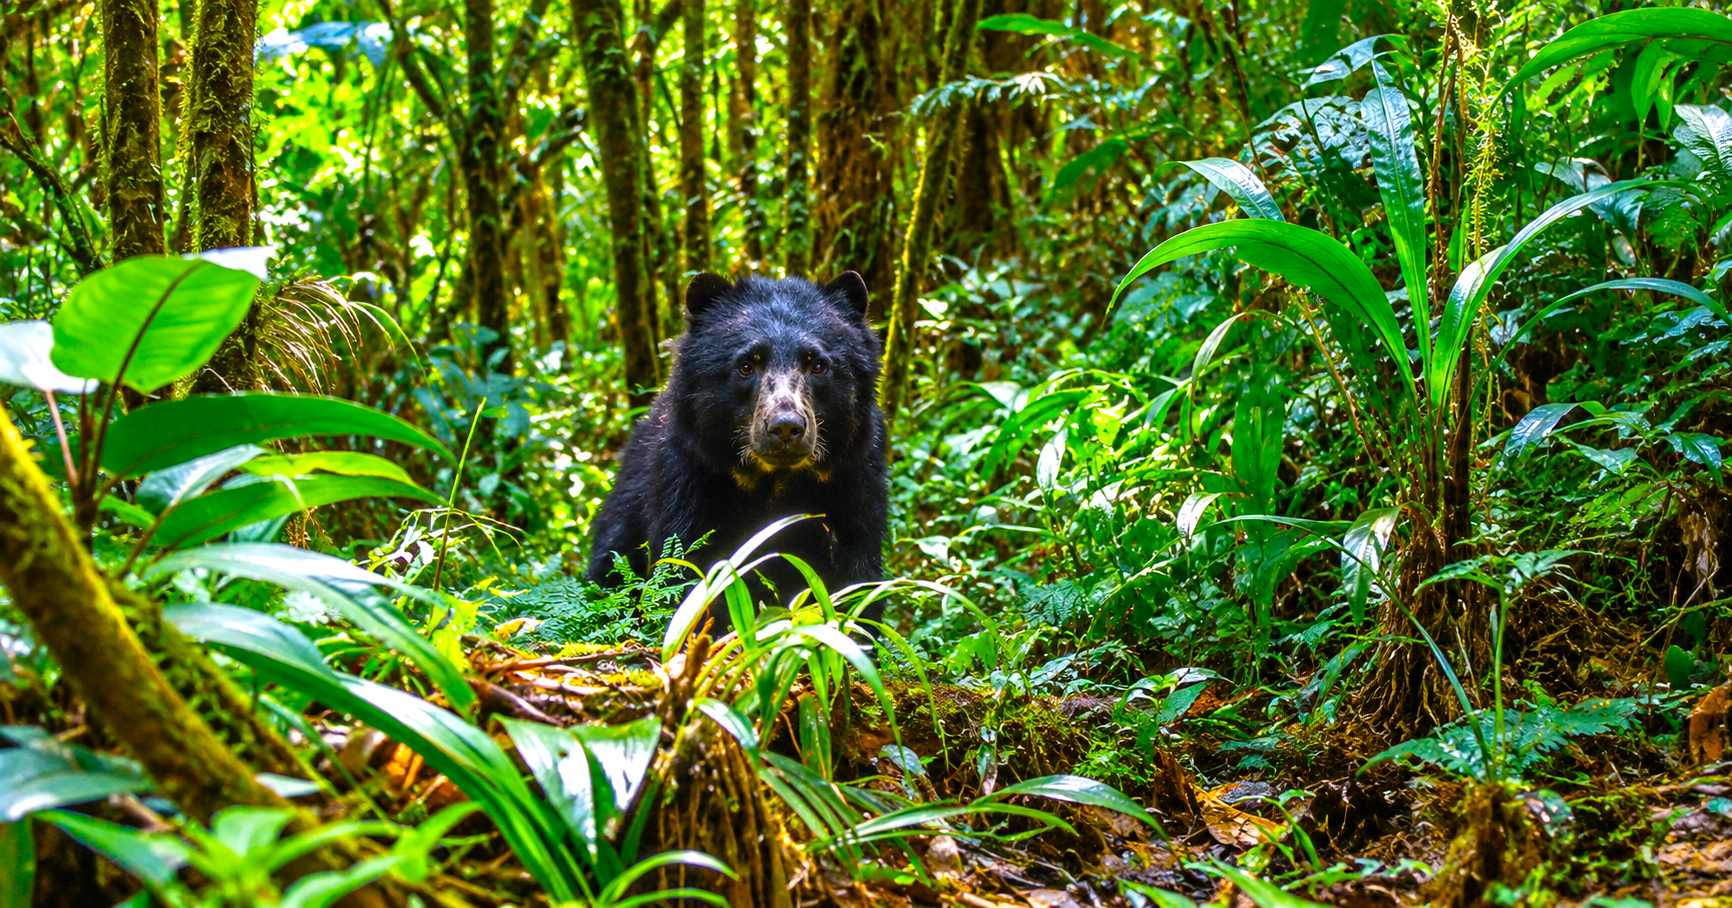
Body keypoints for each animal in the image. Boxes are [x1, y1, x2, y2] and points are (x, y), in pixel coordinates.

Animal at [585, 271, 889, 630]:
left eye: (817, 365)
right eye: (746, 365)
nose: (785, 427)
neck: (776, 482)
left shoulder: (854, 479)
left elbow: (857, 578)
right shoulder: (689, 476)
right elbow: (684, 569)